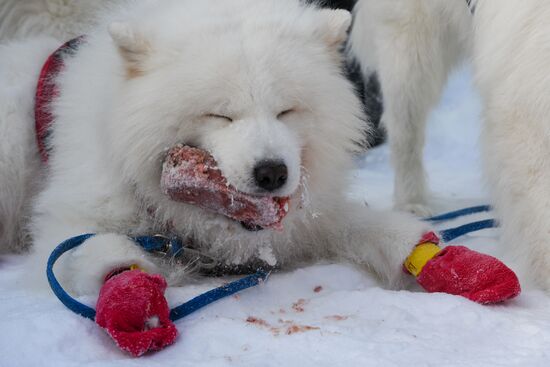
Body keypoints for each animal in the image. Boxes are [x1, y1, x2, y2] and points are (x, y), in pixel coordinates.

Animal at [0, 0, 432, 296]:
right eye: (220, 115)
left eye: (285, 111)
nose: (272, 172)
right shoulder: (72, 215)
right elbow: (91, 247)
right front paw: (128, 281)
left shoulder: (306, 224)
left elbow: (356, 224)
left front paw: (410, 243)